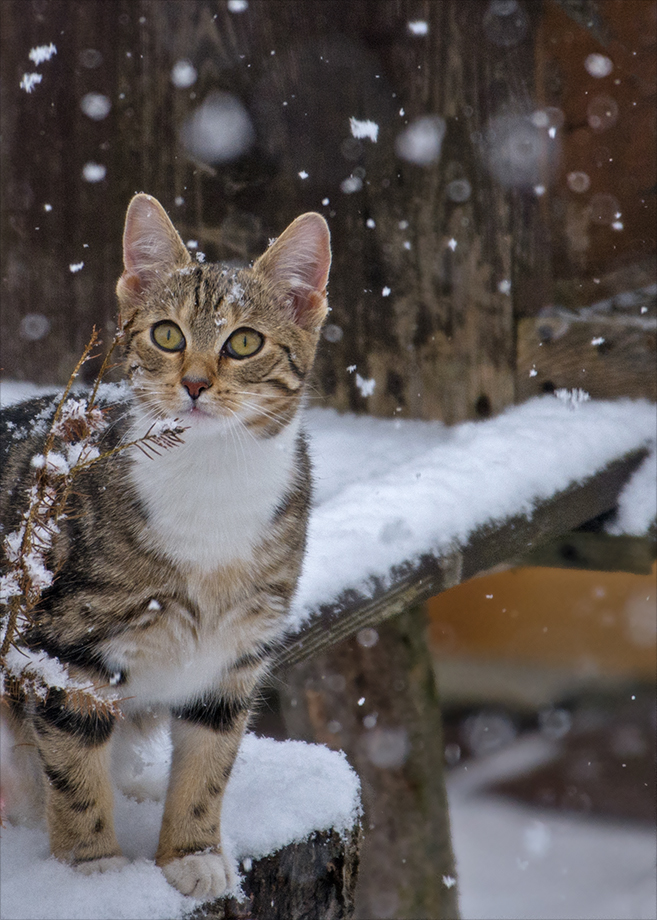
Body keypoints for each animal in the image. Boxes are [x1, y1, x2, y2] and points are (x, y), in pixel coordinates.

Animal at [0, 196, 328, 900]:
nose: (196, 385)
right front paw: (92, 869)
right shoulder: (66, 643)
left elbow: (209, 762)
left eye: (245, 342)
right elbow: (73, 764)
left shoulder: (234, 654)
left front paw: (191, 854)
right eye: (168, 335)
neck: (210, 476)